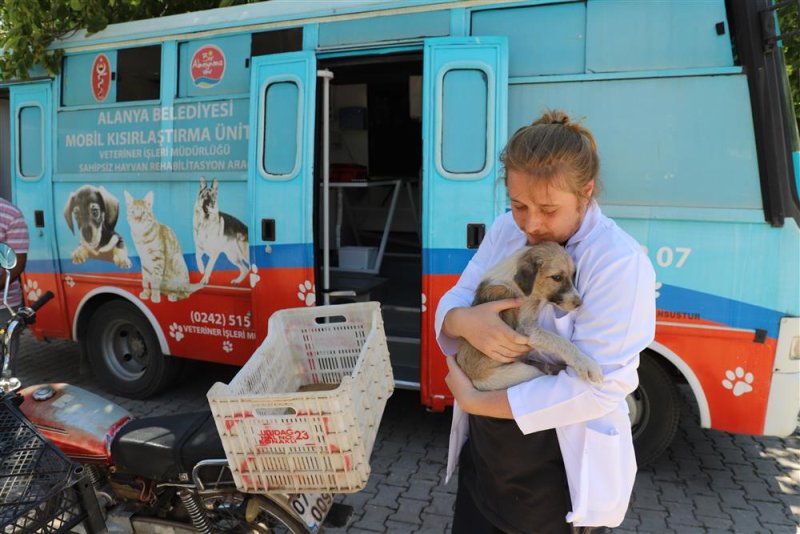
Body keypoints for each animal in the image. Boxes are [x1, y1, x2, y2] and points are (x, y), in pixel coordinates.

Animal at [456, 244, 600, 394]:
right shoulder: (524, 328)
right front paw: (587, 364)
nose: (580, 303)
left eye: (573, 275)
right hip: (521, 372)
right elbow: (560, 341)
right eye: (557, 277)